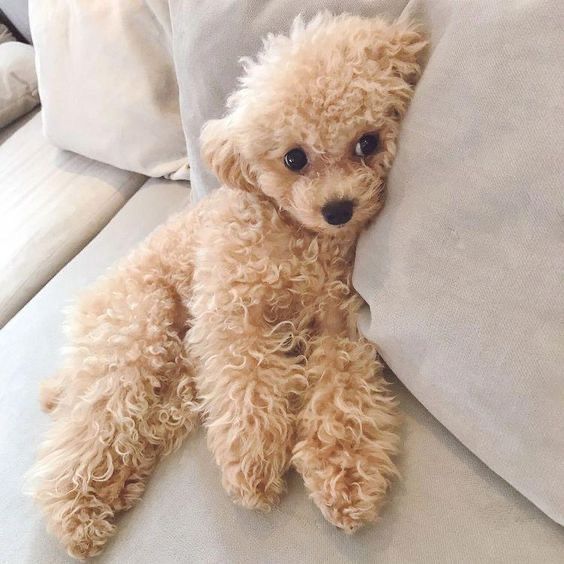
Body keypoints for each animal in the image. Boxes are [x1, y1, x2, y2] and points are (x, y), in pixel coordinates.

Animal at [25, 13, 424, 560]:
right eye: (294, 158)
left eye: (368, 142)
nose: (339, 209)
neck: (298, 236)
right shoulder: (230, 312)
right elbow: (247, 387)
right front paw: (255, 466)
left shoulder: (339, 323)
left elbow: (344, 395)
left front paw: (345, 478)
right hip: (134, 336)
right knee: (90, 430)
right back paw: (79, 515)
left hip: (177, 378)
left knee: (141, 427)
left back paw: (118, 488)